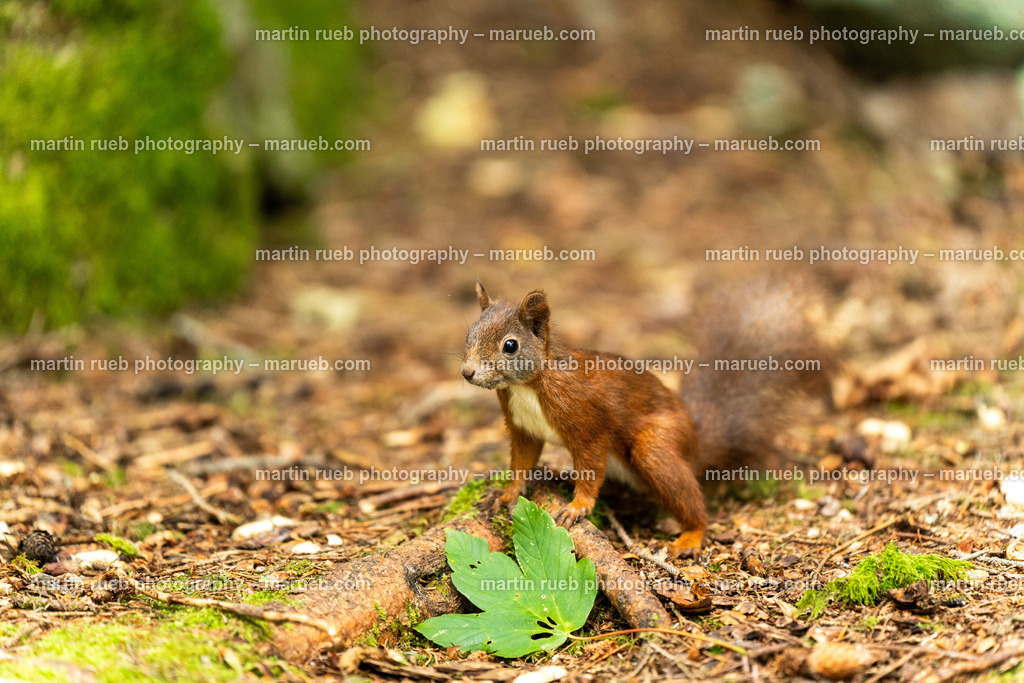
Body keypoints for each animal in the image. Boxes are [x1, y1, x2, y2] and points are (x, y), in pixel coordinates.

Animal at [460, 281, 834, 555]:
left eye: (510, 346)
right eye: (469, 336)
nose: (467, 372)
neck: (527, 385)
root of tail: (695, 445)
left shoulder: (589, 421)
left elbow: (590, 465)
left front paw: (578, 505)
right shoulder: (523, 428)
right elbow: (522, 461)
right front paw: (507, 494)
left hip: (655, 447)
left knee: (688, 497)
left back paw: (691, 535)